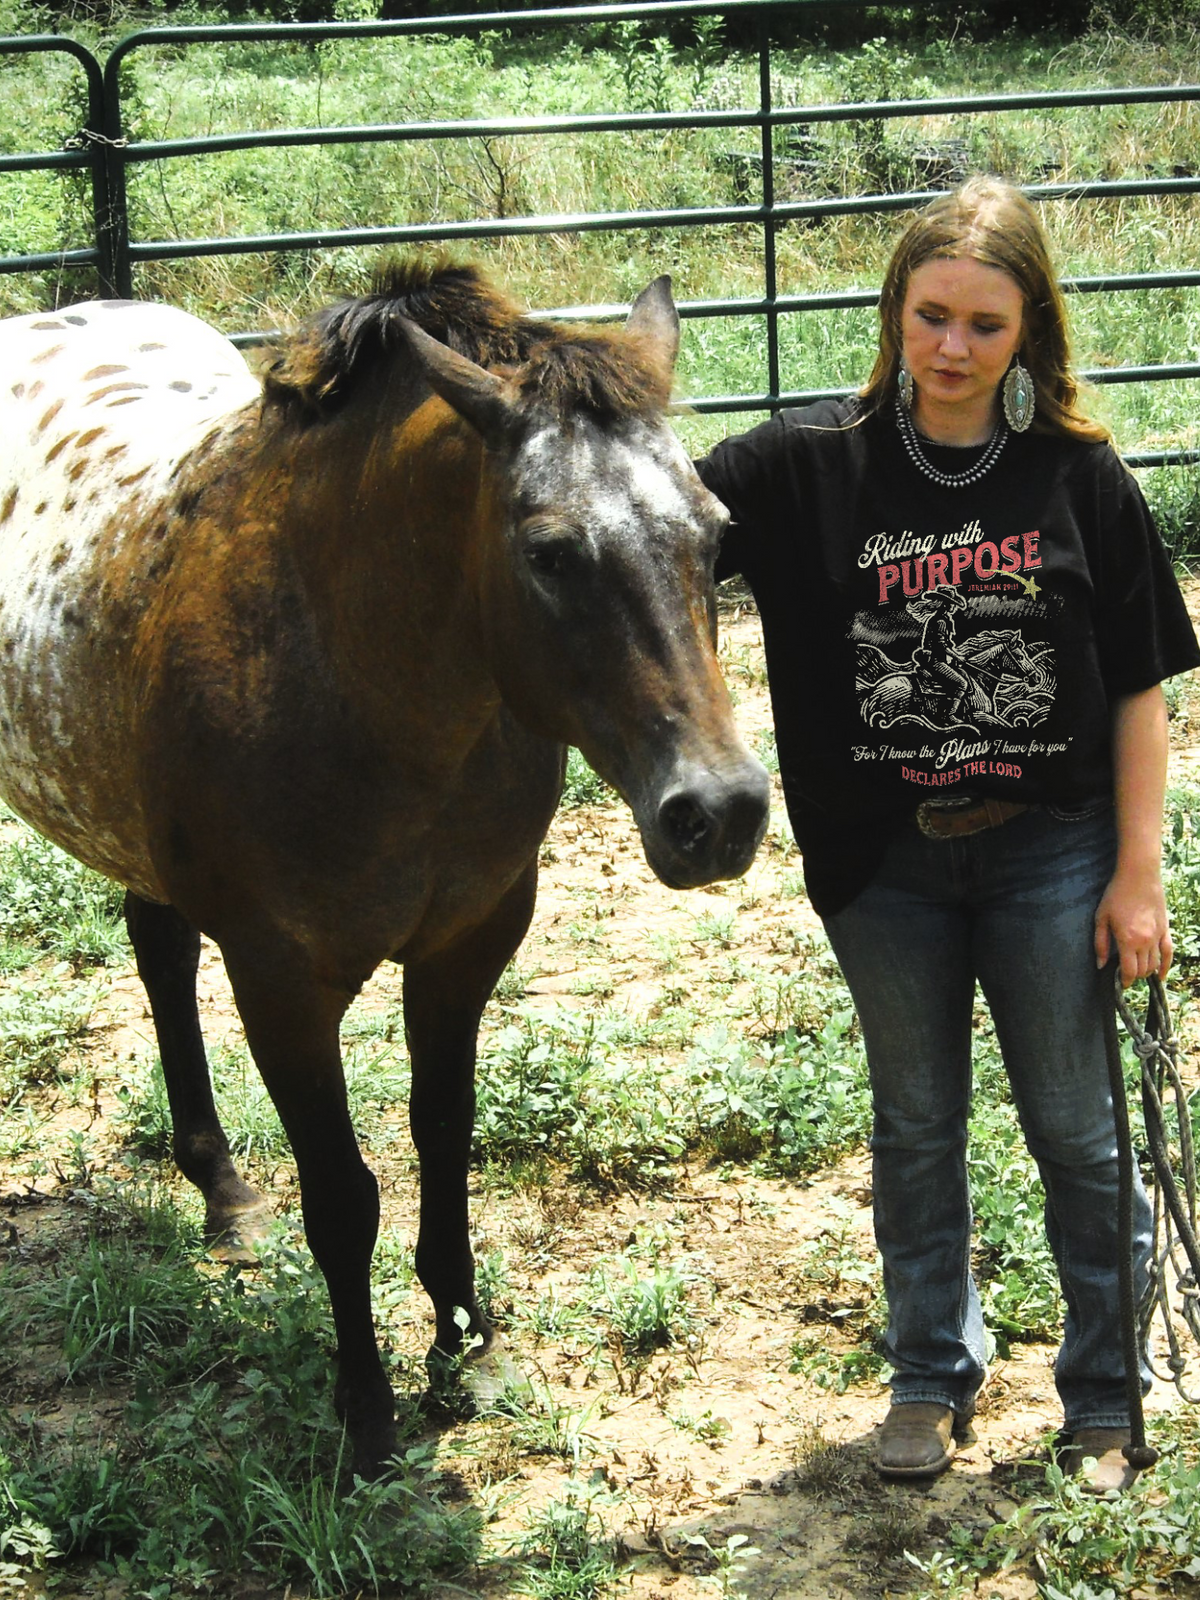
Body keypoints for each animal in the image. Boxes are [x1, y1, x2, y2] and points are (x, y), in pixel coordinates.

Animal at [0, 262, 771, 1472]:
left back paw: (221, 1189)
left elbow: (442, 1136)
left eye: (715, 528)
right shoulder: (280, 980)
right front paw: (365, 1415)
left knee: (157, 946)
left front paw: (461, 1342)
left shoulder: (469, 940)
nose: (721, 812)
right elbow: (342, 1195)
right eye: (549, 553)